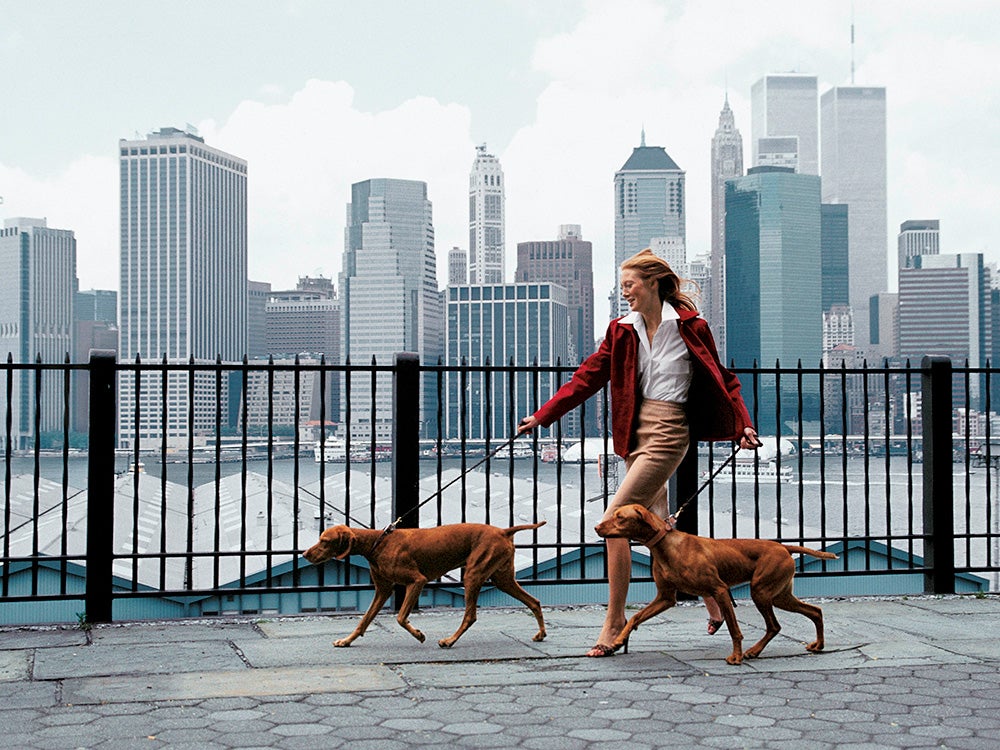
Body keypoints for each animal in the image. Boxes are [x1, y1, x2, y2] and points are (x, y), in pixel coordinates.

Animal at [304, 524, 548, 652]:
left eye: (324, 541)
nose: (305, 554)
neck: (377, 543)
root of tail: (503, 531)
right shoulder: (383, 590)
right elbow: (364, 620)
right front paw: (346, 641)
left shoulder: (416, 581)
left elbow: (401, 617)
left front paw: (419, 635)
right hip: (502, 579)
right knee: (535, 602)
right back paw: (541, 634)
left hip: (473, 575)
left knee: (470, 616)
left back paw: (449, 640)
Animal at [592, 506, 836, 664]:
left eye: (620, 517)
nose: (596, 528)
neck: (667, 547)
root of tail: (784, 547)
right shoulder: (665, 597)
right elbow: (635, 617)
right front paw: (617, 642)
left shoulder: (720, 591)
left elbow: (734, 629)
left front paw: (736, 656)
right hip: (780, 596)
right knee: (815, 611)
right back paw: (817, 645)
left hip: (761, 592)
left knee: (775, 625)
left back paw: (752, 651)